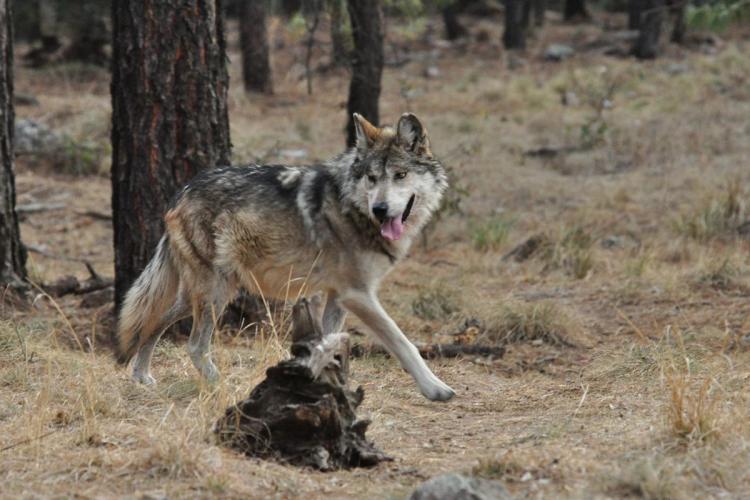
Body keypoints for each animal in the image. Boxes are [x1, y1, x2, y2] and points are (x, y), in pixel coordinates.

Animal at [114, 113, 455, 401]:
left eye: (400, 175)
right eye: (372, 178)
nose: (380, 209)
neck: (351, 208)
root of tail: (181, 192)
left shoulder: (338, 296)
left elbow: (328, 345)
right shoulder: (358, 295)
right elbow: (403, 342)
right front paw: (436, 388)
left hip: (202, 294)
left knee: (154, 321)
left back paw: (141, 375)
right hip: (215, 293)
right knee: (195, 345)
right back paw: (222, 386)